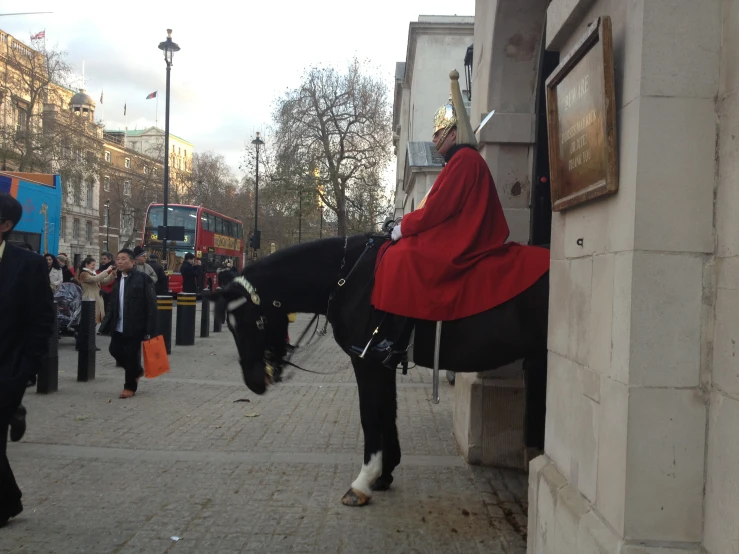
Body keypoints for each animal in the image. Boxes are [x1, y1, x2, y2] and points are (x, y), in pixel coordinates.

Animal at [215, 233, 548, 504]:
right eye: (228, 325)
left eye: (253, 322)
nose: (254, 383)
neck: (348, 279)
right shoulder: (383, 363)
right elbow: (387, 411)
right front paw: (385, 473)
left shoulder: (367, 362)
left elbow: (370, 414)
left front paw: (363, 481)